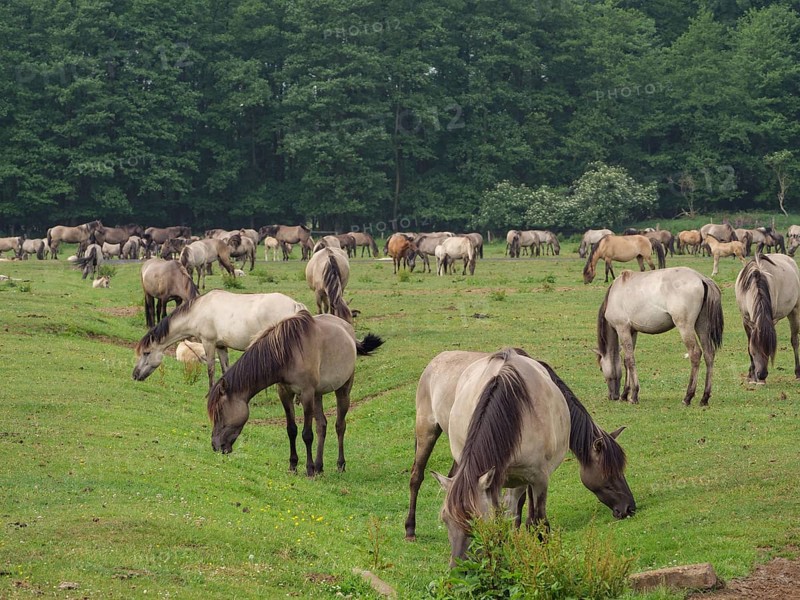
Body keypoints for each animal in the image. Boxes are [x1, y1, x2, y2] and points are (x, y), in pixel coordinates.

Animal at [133, 290, 308, 388]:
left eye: (146, 353)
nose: (135, 375)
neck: (199, 309)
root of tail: (295, 305)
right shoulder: (221, 346)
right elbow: (225, 369)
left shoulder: (208, 343)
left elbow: (210, 369)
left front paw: (210, 391)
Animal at [207, 310, 384, 475]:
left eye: (220, 411)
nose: (215, 445)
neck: (287, 353)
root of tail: (348, 330)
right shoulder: (285, 393)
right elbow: (291, 430)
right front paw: (293, 466)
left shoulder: (306, 394)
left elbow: (307, 434)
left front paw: (309, 469)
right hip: (318, 395)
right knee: (322, 426)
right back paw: (320, 466)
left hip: (343, 390)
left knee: (340, 426)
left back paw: (339, 465)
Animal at [404, 349, 635, 544]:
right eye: (610, 473)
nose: (629, 508)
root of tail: (437, 359)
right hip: (427, 431)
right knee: (416, 477)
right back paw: (410, 529)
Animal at [596, 267, 723, 405]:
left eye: (601, 368)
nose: (612, 396)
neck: (614, 294)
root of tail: (700, 277)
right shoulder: (632, 331)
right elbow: (626, 361)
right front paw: (625, 394)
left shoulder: (622, 329)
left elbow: (630, 360)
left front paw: (634, 395)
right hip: (702, 325)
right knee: (709, 354)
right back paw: (704, 398)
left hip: (685, 326)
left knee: (695, 354)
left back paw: (687, 397)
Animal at [735, 254, 800, 383]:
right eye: (754, 351)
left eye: (770, 349)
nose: (762, 375)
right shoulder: (745, 320)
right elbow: (748, 345)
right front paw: (751, 375)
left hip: (794, 311)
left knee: (795, 341)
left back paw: (798, 372)